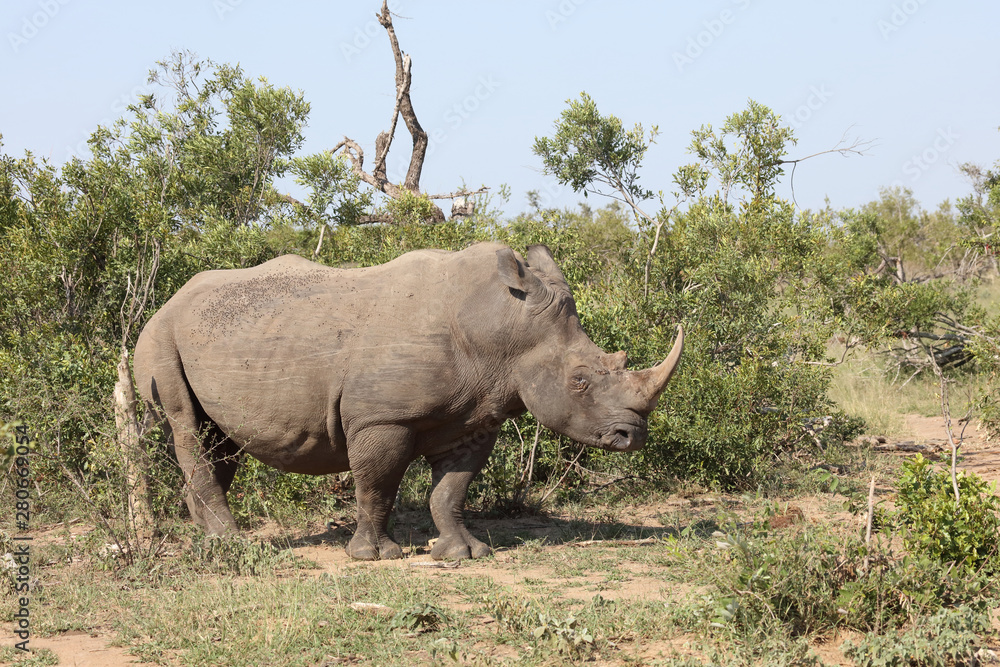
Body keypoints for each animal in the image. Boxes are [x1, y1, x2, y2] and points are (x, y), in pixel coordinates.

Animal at [133, 243, 682, 560]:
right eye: (581, 381)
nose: (632, 436)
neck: (502, 329)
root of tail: (168, 299)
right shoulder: (382, 418)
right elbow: (377, 485)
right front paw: (376, 557)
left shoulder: (475, 416)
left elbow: (451, 489)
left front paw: (463, 554)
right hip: (160, 336)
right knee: (186, 426)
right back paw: (231, 544)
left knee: (218, 439)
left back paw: (207, 537)